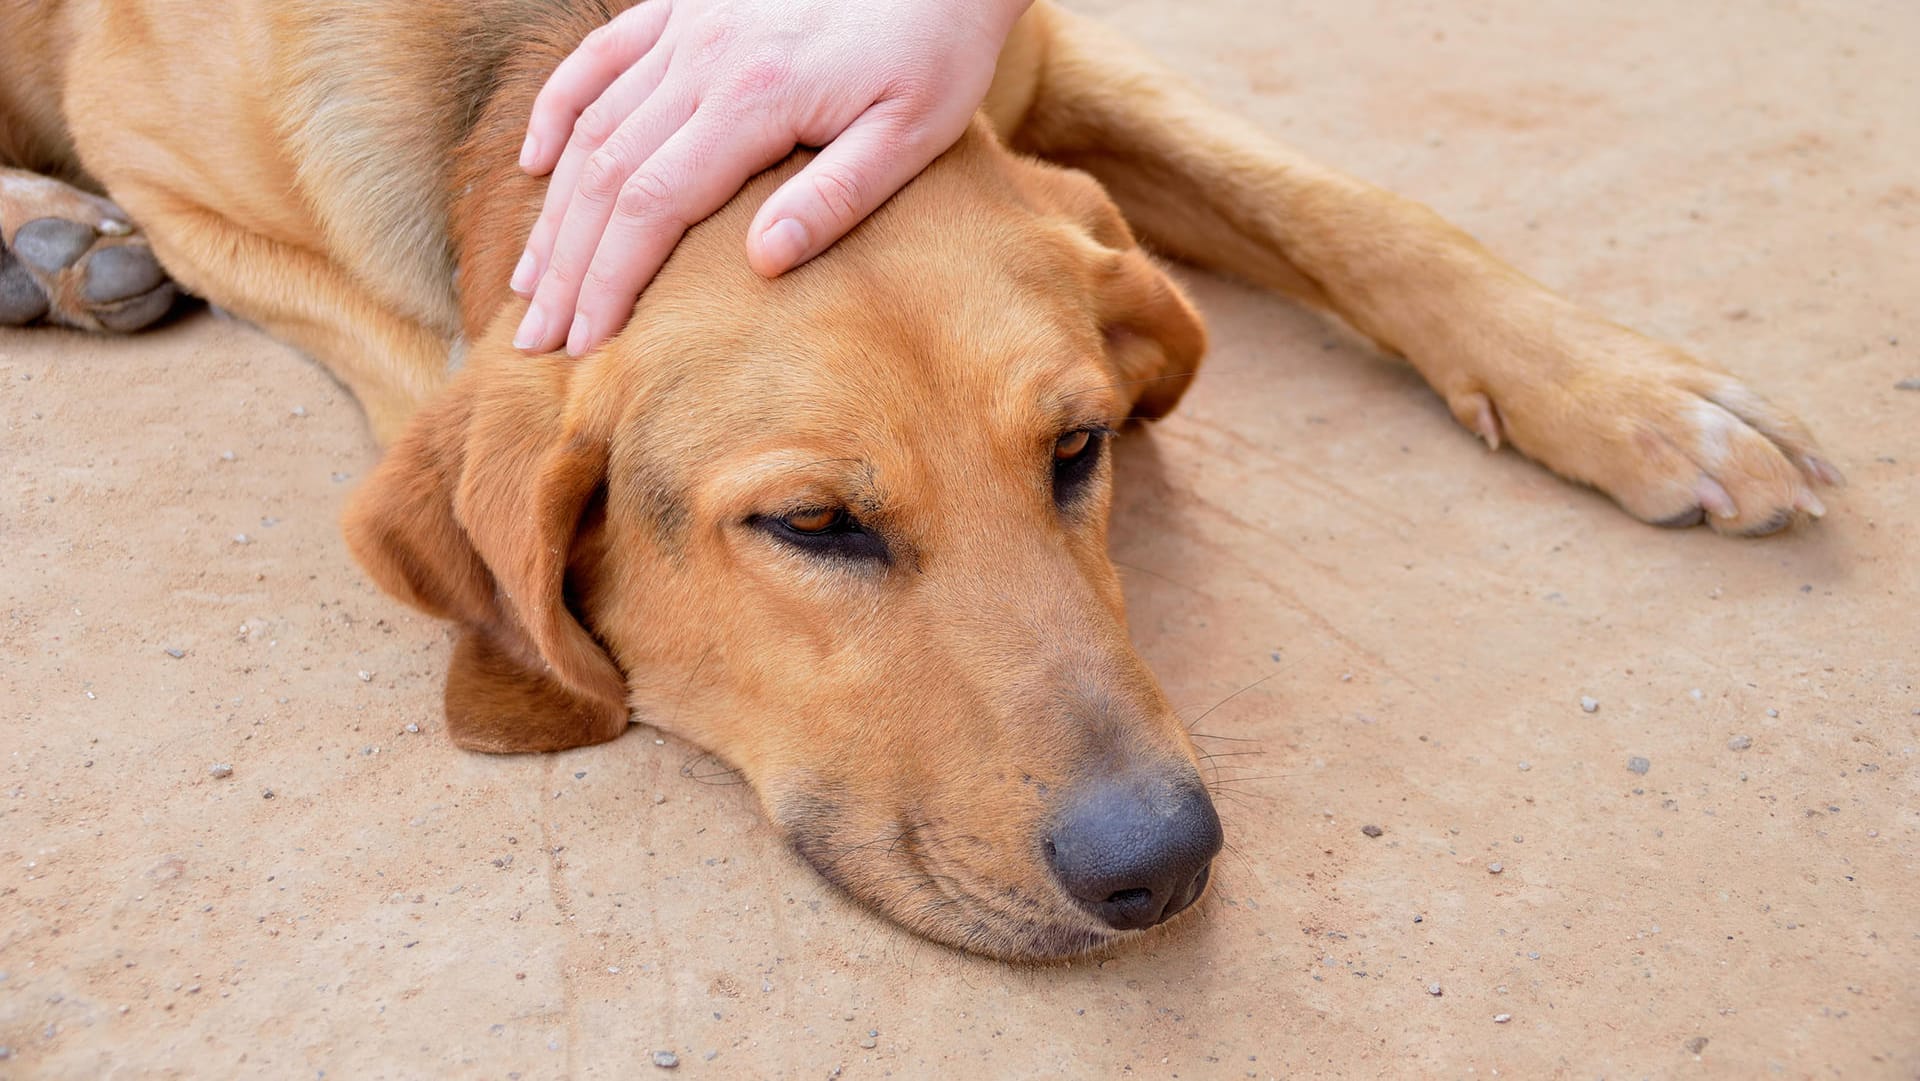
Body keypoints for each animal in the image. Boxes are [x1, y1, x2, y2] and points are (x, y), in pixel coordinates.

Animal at [0, 0, 1835, 963]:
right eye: (813, 526)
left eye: (1078, 451)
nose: (1162, 863)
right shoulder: (180, 169)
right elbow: (420, 361)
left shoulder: (1012, 58)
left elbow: (1348, 205)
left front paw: (1641, 396)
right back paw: (50, 241)